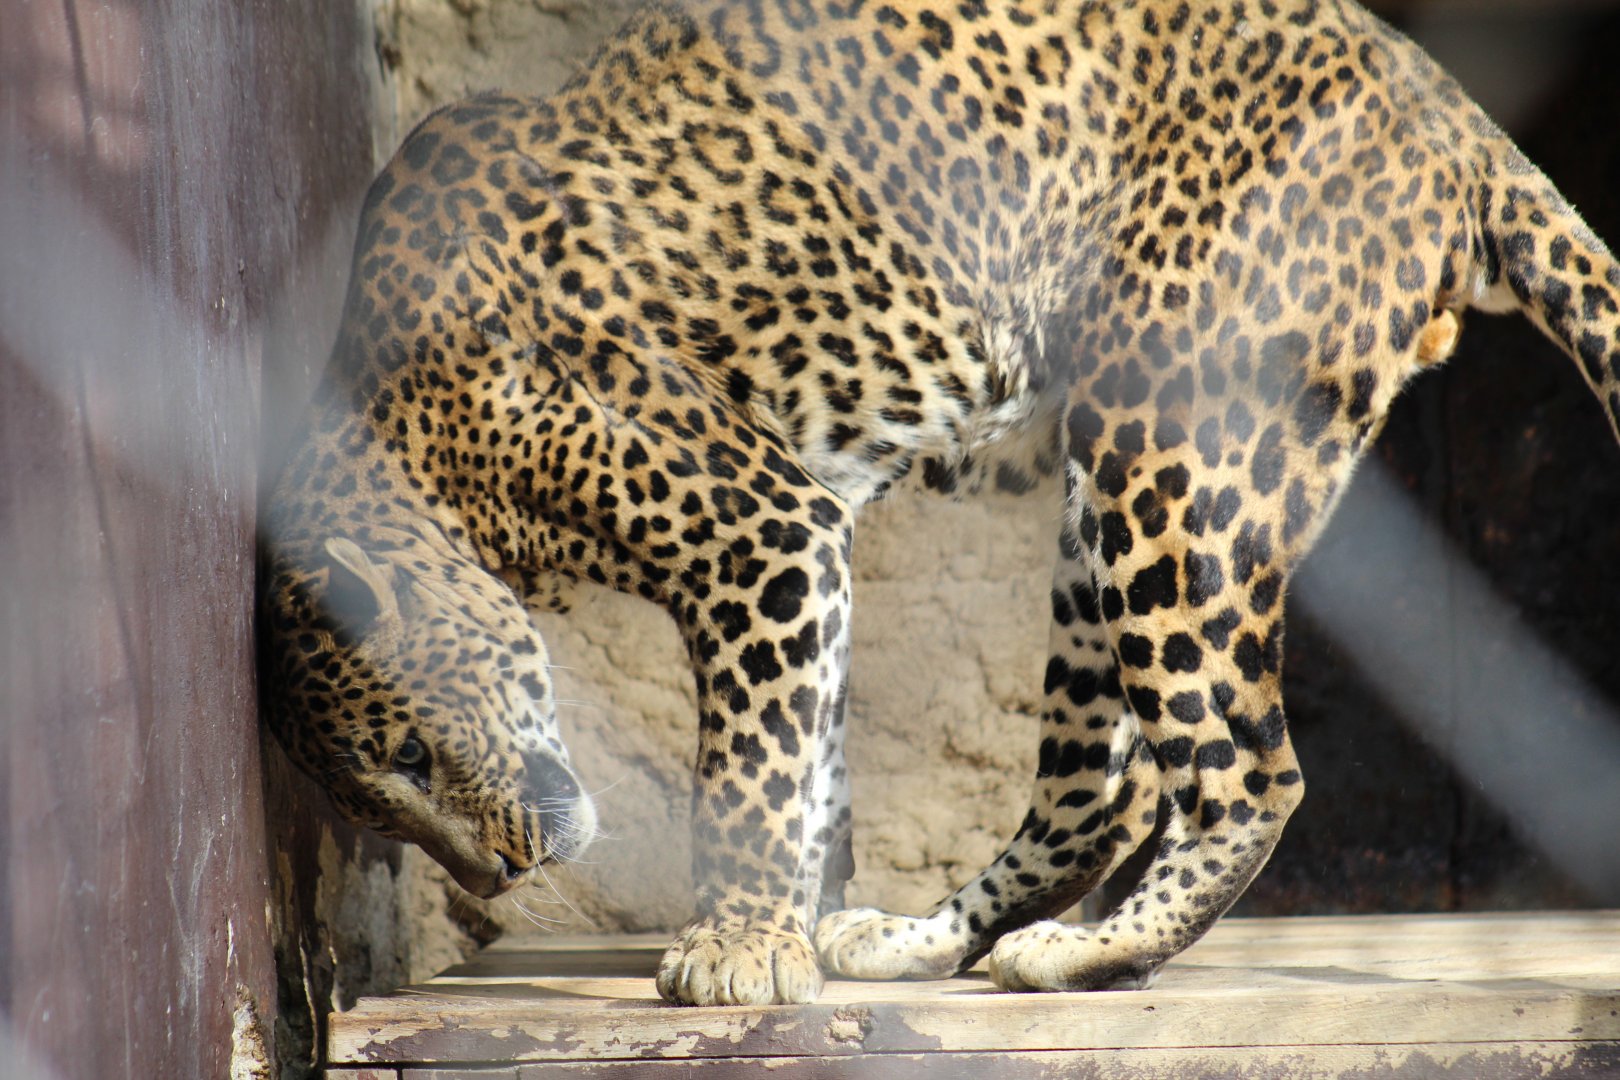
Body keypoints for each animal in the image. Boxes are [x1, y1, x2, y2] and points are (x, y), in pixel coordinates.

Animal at [260, 0, 1620, 1007]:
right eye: (376, 789)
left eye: (412, 753)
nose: (498, 875)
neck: (412, 448)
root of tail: (1451, 110)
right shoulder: (807, 536)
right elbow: (812, 756)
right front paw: (793, 924)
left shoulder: (760, 529)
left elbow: (750, 763)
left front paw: (738, 946)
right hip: (1098, 516)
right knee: (1101, 788)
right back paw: (920, 941)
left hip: (1176, 449)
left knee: (1247, 768)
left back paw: (1089, 953)